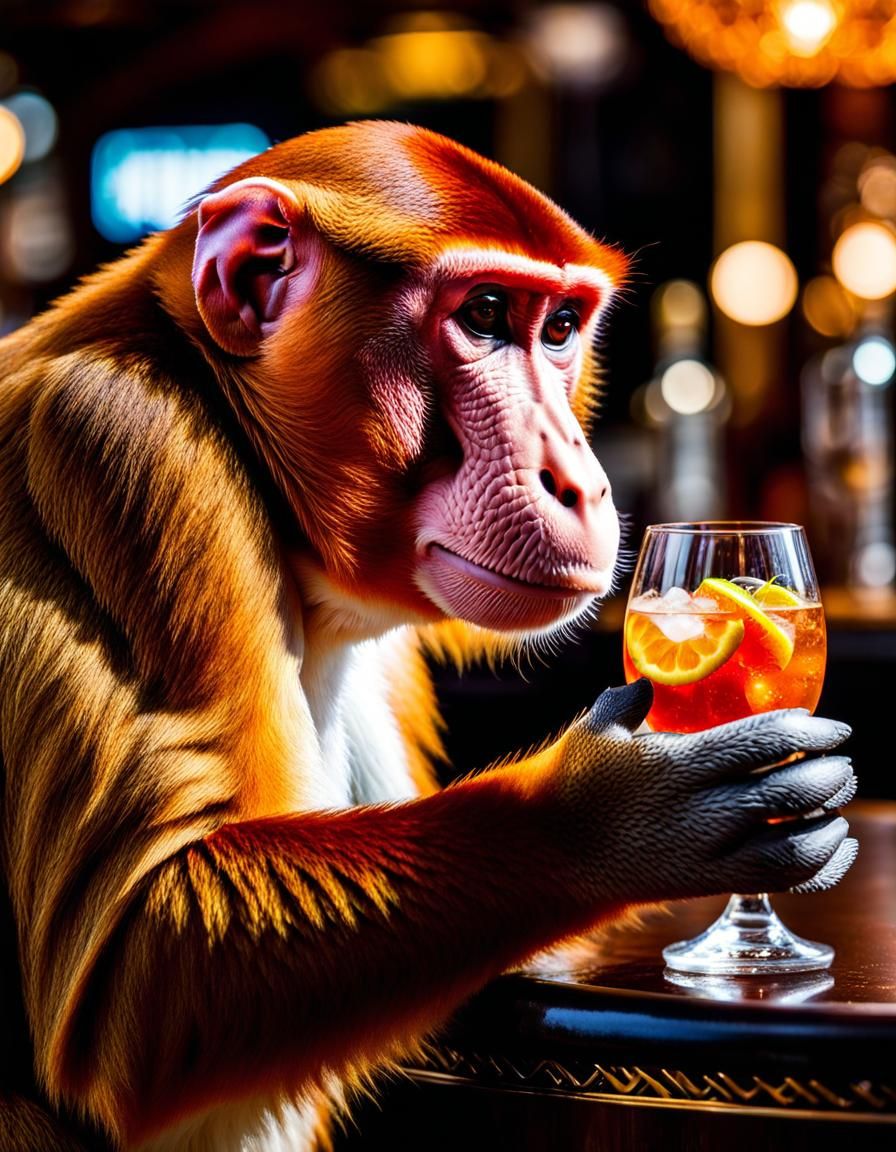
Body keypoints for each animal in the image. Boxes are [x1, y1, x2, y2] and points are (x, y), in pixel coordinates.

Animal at [0, 120, 856, 1151]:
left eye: (560, 329)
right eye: (484, 313)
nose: (583, 481)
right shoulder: (128, 452)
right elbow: (133, 971)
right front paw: (611, 818)